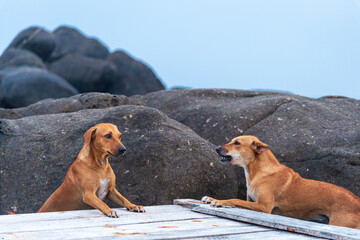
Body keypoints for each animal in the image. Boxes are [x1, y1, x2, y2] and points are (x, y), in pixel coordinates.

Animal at [201, 136, 360, 228]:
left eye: (237, 143)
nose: (216, 148)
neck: (257, 172)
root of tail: (357, 201)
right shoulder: (251, 201)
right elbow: (239, 200)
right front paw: (210, 197)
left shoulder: (264, 207)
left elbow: (235, 199)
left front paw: (219, 201)